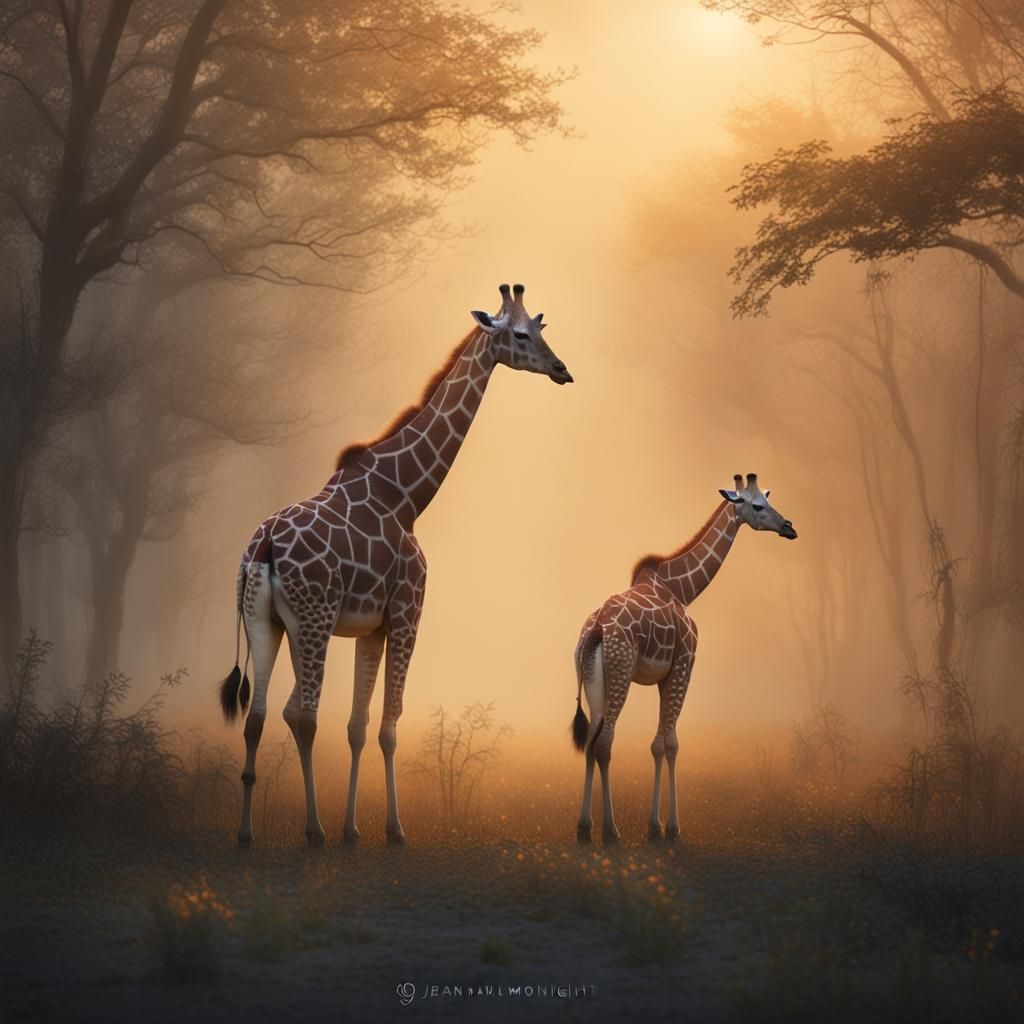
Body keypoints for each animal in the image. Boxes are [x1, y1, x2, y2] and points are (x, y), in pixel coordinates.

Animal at [219, 283, 573, 847]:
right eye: (520, 335)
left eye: (541, 327)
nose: (562, 369)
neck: (407, 494)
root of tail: (266, 547)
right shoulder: (409, 613)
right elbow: (388, 722)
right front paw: (394, 828)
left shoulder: (371, 626)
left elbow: (358, 725)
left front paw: (353, 829)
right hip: (314, 621)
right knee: (302, 713)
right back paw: (313, 830)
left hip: (264, 622)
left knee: (258, 715)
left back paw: (248, 833)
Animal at [571, 473, 797, 844]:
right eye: (757, 505)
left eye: (768, 496)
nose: (789, 528)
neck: (682, 589)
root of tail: (598, 629)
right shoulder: (684, 666)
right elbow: (670, 743)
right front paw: (668, 828)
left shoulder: (664, 676)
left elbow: (658, 745)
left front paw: (657, 825)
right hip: (621, 673)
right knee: (604, 742)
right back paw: (612, 831)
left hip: (592, 679)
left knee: (590, 741)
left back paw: (584, 828)